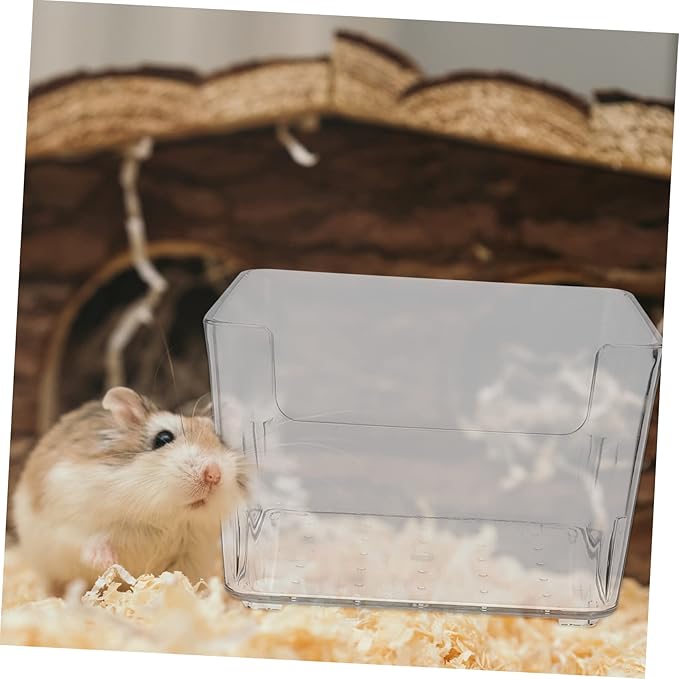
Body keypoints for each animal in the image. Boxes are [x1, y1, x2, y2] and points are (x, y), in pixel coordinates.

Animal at [12, 386, 250, 596]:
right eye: (163, 438)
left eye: (219, 441)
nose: (214, 475)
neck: (163, 516)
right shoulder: (70, 521)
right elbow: (89, 541)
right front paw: (108, 561)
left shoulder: (191, 553)